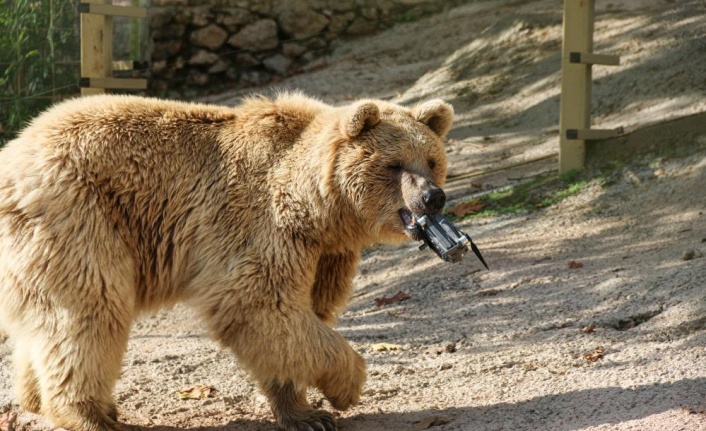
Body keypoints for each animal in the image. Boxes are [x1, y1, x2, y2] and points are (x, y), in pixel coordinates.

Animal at [0, 92, 452, 431]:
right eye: (394, 164)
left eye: (432, 160)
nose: (433, 196)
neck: (320, 209)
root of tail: (12, 157)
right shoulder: (260, 225)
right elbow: (260, 305)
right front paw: (347, 386)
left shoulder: (325, 253)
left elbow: (295, 323)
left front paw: (305, 413)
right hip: (79, 216)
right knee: (89, 313)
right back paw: (89, 415)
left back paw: (38, 399)